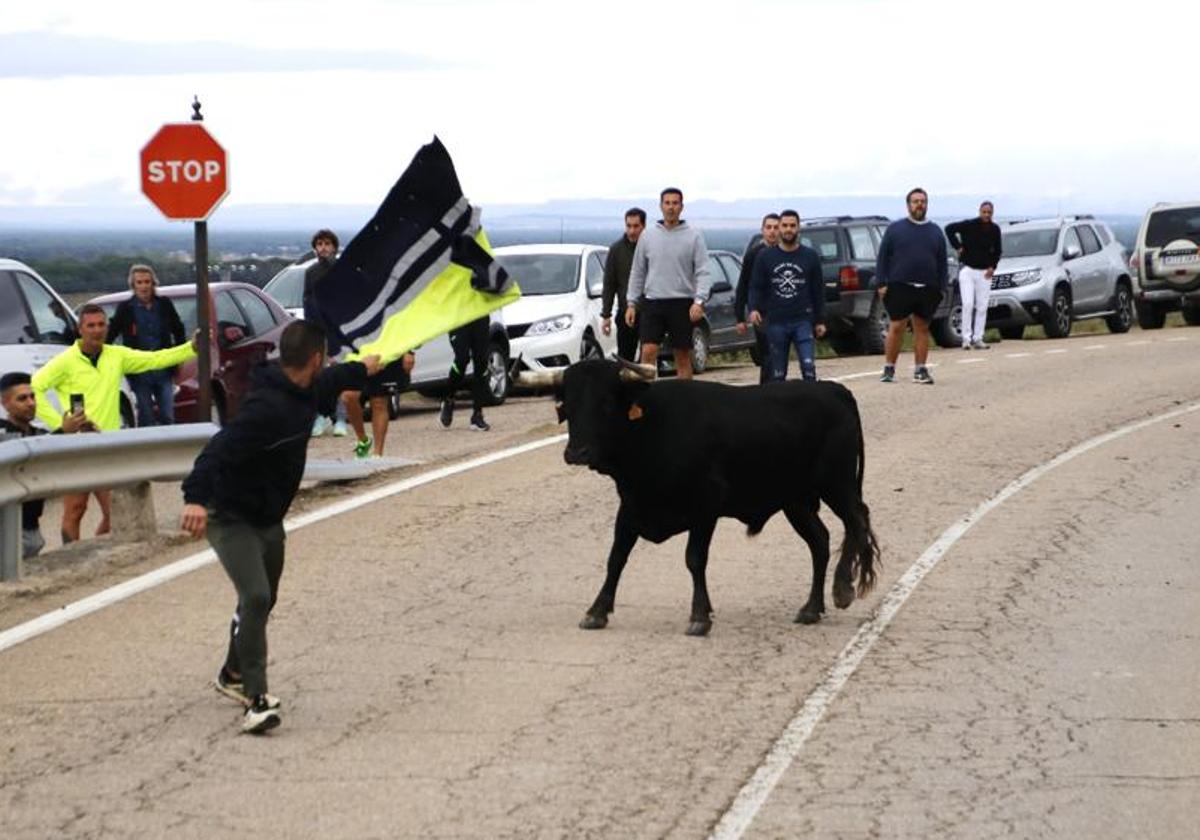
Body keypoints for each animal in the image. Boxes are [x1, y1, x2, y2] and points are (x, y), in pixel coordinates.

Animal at [525, 357, 883, 638]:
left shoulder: (706, 505)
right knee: (820, 541)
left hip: (837, 485)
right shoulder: (630, 506)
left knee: (857, 520)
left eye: (605, 404)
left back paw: (842, 589)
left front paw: (699, 616)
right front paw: (596, 611)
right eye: (567, 406)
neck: (652, 427)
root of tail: (833, 390)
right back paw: (811, 608)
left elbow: (694, 559)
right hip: (795, 501)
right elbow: (616, 558)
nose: (577, 452)